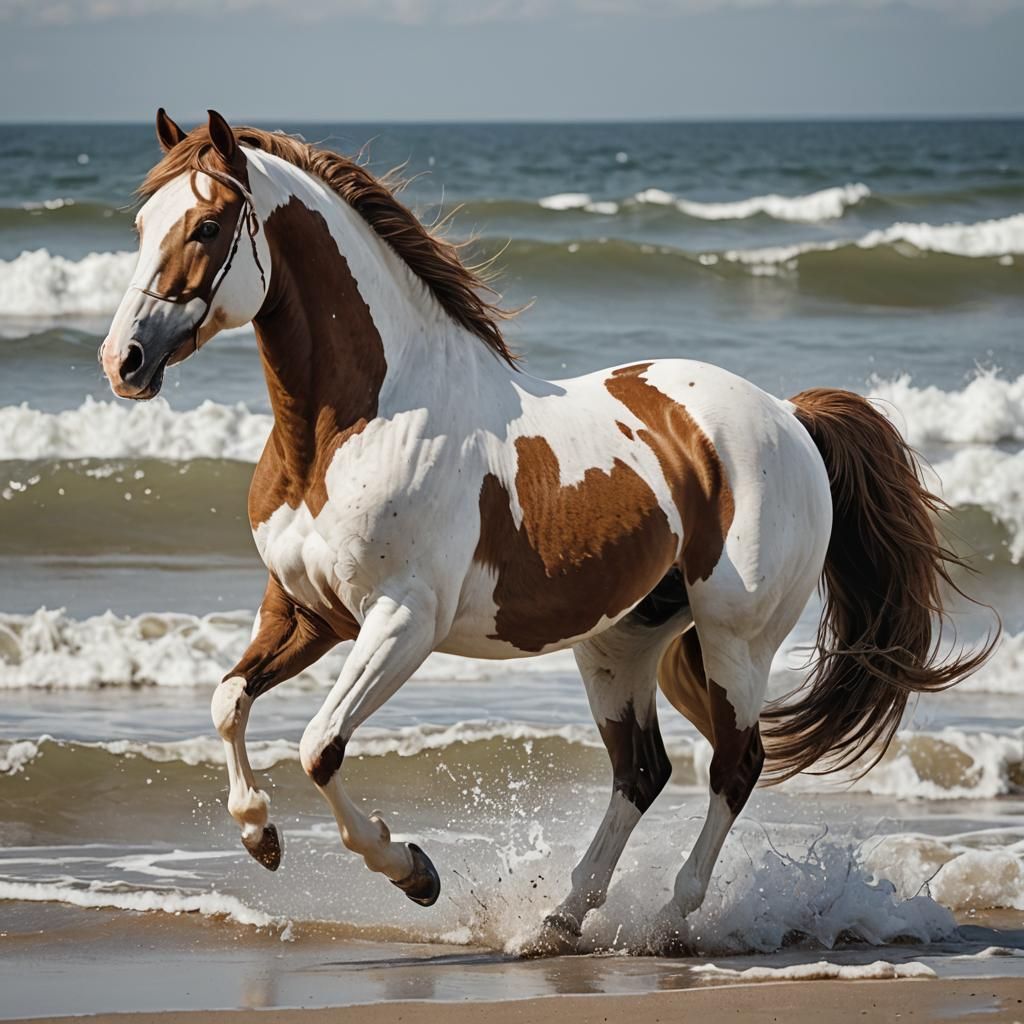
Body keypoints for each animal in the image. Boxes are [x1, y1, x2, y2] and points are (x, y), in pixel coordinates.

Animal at [99, 109, 993, 953]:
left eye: (206, 226)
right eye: (142, 224)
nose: (124, 361)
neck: (355, 424)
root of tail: (788, 415)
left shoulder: (401, 623)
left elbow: (320, 746)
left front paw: (413, 871)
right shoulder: (305, 612)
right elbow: (228, 701)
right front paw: (260, 834)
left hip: (736, 637)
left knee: (734, 767)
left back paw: (670, 921)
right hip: (620, 640)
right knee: (642, 772)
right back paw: (557, 923)